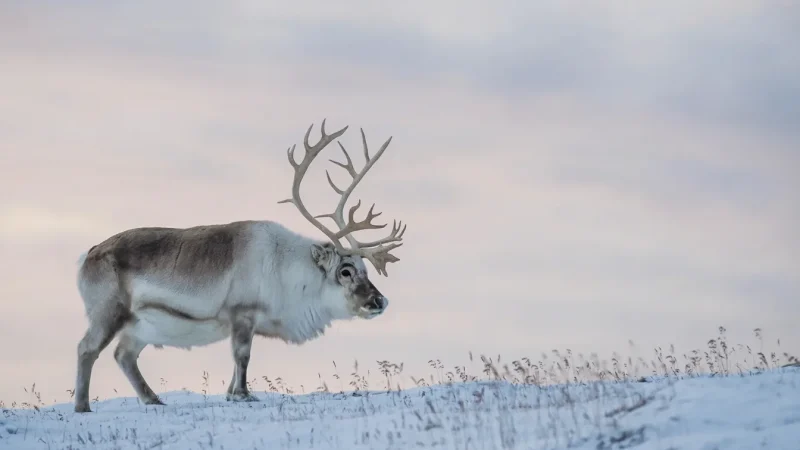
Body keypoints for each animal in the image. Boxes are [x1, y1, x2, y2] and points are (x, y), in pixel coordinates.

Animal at [72, 119, 406, 413]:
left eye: (366, 269)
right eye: (345, 270)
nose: (379, 301)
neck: (287, 270)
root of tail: (87, 255)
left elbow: (237, 361)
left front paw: (233, 393)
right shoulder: (242, 312)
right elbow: (242, 355)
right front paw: (243, 394)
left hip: (140, 326)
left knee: (123, 355)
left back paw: (153, 400)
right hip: (107, 310)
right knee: (87, 348)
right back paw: (82, 406)